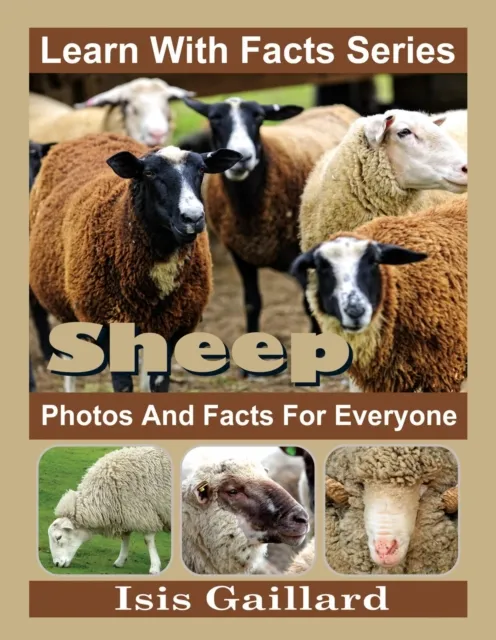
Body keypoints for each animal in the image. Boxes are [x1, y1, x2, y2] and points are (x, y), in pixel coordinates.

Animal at [29, 132, 242, 392]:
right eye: (149, 173)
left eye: (202, 169)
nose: (193, 218)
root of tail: (93, 135)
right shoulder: (109, 325)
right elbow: (122, 386)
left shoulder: (171, 327)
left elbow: (158, 383)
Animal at [182, 97, 360, 343]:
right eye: (214, 118)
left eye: (259, 117)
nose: (242, 157)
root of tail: (335, 106)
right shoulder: (240, 255)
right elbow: (252, 304)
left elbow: (309, 306)